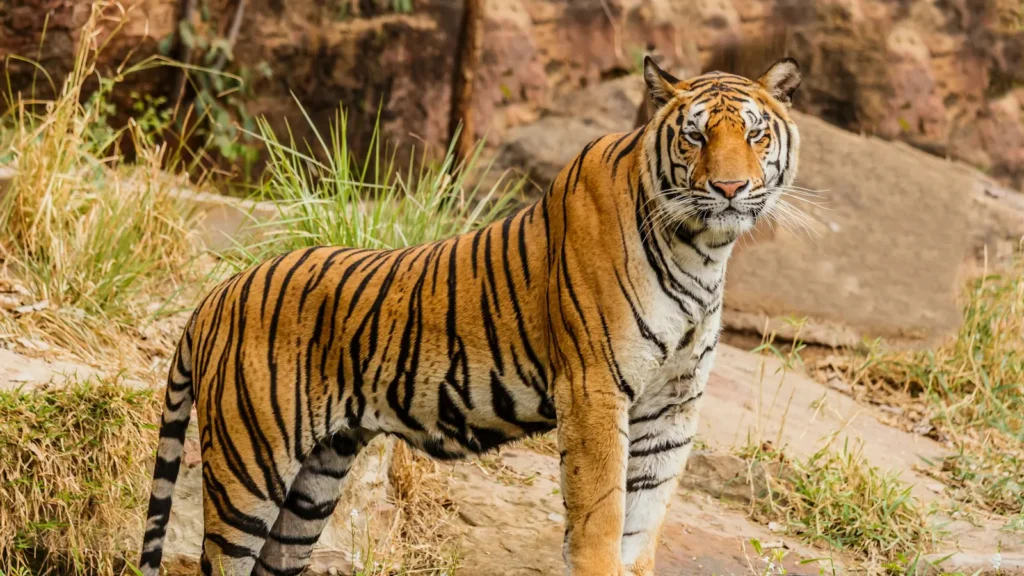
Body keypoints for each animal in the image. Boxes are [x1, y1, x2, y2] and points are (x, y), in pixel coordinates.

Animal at [139, 56, 801, 576]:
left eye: (755, 136)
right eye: (695, 136)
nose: (730, 189)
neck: (703, 250)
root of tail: (216, 295)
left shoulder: (672, 406)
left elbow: (641, 525)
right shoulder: (594, 390)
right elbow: (601, 519)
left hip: (314, 483)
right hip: (249, 468)